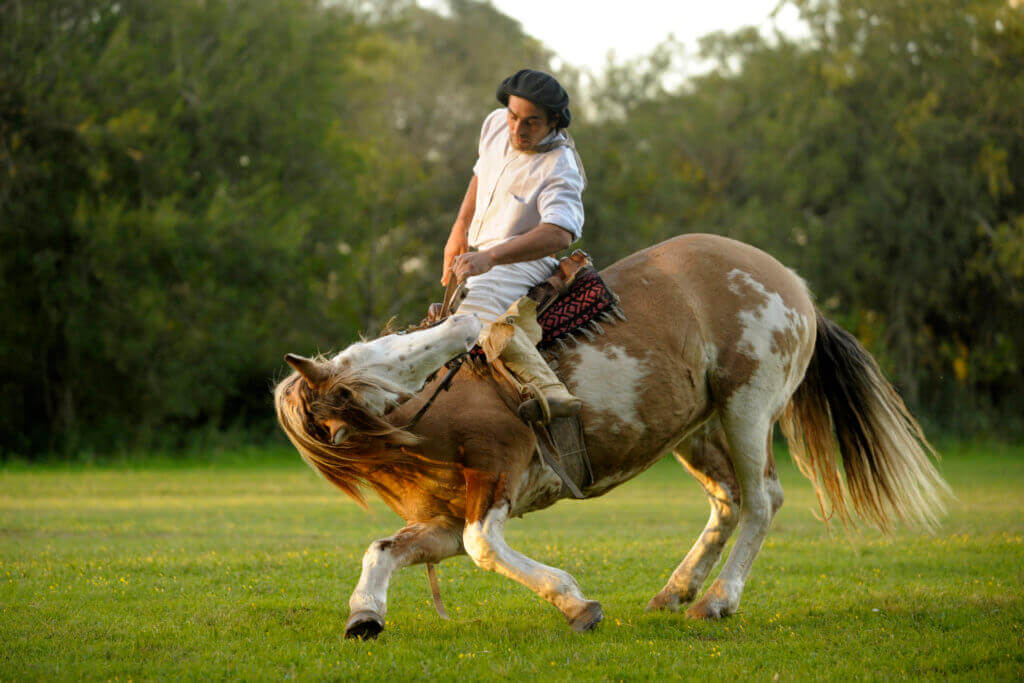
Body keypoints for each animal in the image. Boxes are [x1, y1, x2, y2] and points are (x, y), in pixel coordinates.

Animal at [274, 235, 950, 643]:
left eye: (340, 422)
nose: (467, 328)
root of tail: (794, 284)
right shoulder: (444, 515)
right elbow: (386, 548)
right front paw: (364, 614)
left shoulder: (496, 481)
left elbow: (483, 547)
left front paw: (576, 603)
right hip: (696, 429)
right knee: (729, 501)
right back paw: (676, 591)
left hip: (748, 407)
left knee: (762, 501)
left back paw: (717, 600)